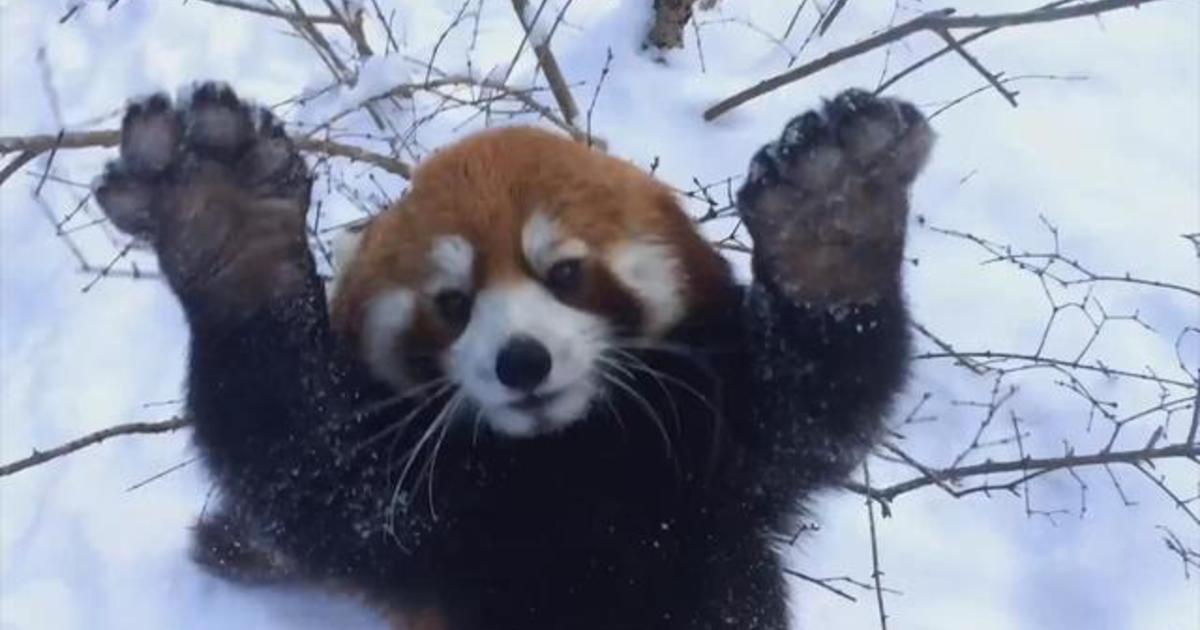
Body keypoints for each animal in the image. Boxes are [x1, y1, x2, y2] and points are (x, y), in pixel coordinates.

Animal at [96, 83, 936, 628]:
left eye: (563, 273)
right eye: (452, 303)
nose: (521, 364)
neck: (562, 461)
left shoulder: (715, 460)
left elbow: (817, 404)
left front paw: (831, 225)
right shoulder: (427, 521)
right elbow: (301, 459)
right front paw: (227, 229)